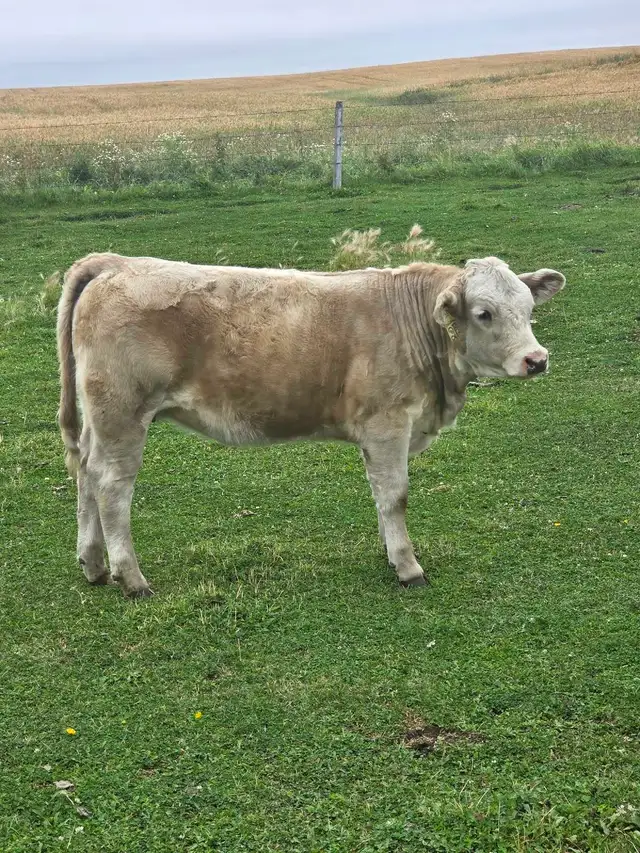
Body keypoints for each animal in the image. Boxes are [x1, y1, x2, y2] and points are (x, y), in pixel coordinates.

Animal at [56, 252, 565, 598]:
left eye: (528, 309)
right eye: (484, 313)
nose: (536, 360)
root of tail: (116, 263)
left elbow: (380, 496)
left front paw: (391, 554)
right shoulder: (387, 424)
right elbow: (396, 496)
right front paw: (408, 566)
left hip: (100, 421)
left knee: (85, 472)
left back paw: (93, 563)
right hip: (122, 414)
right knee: (112, 487)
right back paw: (130, 576)